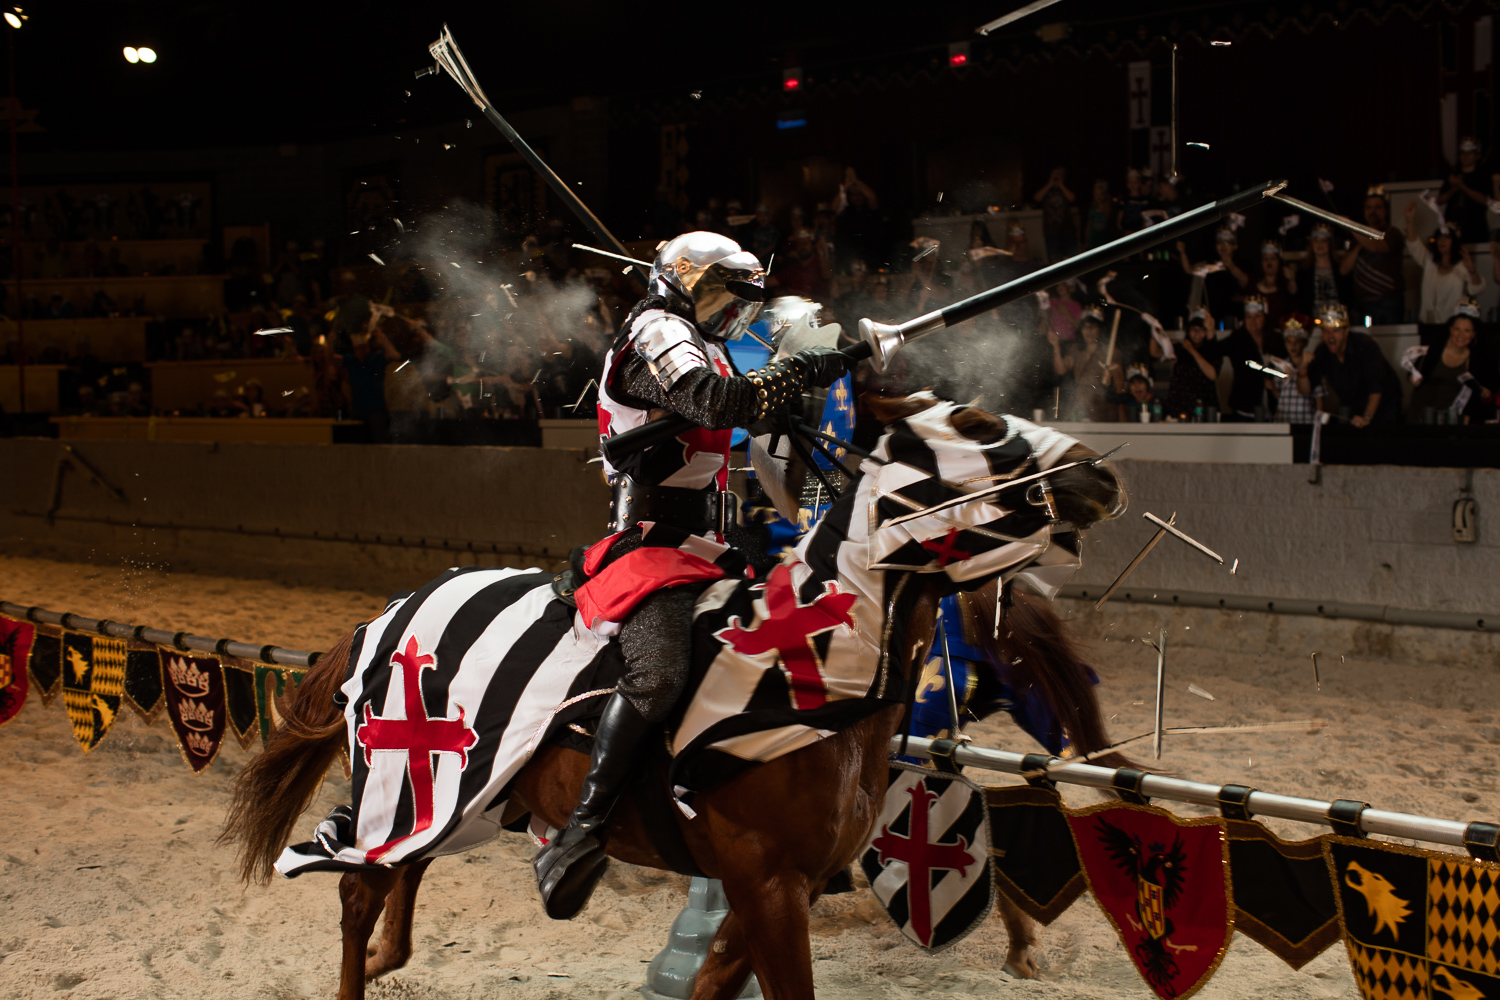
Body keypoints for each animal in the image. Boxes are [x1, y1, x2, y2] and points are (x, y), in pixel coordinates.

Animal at [217, 395, 1122, 1000]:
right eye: (977, 424)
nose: (1098, 471)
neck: (815, 678)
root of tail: (392, 610)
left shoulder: (770, 893)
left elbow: (712, 984)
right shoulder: (768, 886)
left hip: (457, 784)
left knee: (401, 867)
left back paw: (392, 953)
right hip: (399, 771)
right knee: (357, 885)